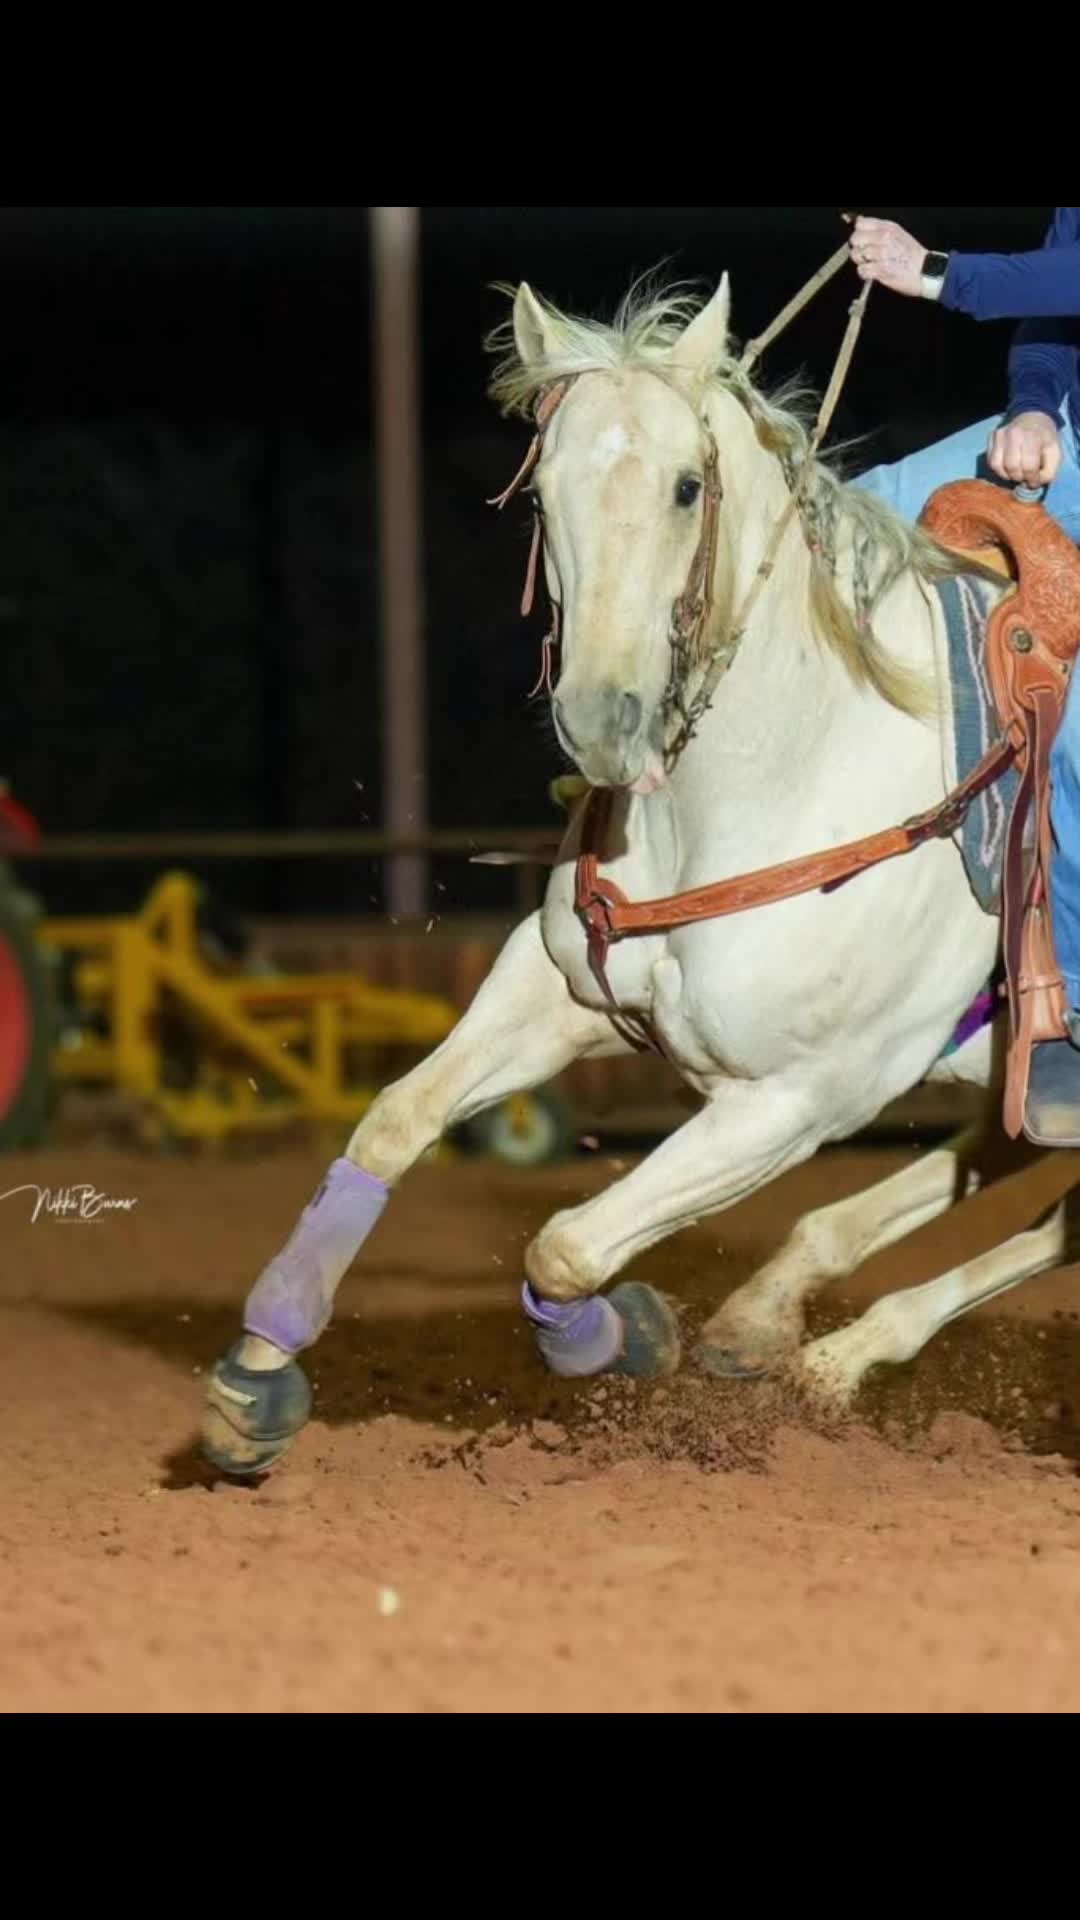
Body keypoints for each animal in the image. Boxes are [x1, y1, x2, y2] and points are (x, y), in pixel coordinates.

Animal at [201, 273, 1072, 1477]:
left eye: (686, 487)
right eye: (539, 494)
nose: (602, 720)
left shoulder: (798, 1099)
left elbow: (566, 1247)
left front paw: (625, 1336)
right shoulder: (558, 992)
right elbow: (393, 1118)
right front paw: (259, 1372)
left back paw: (830, 1353)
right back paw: (769, 1323)